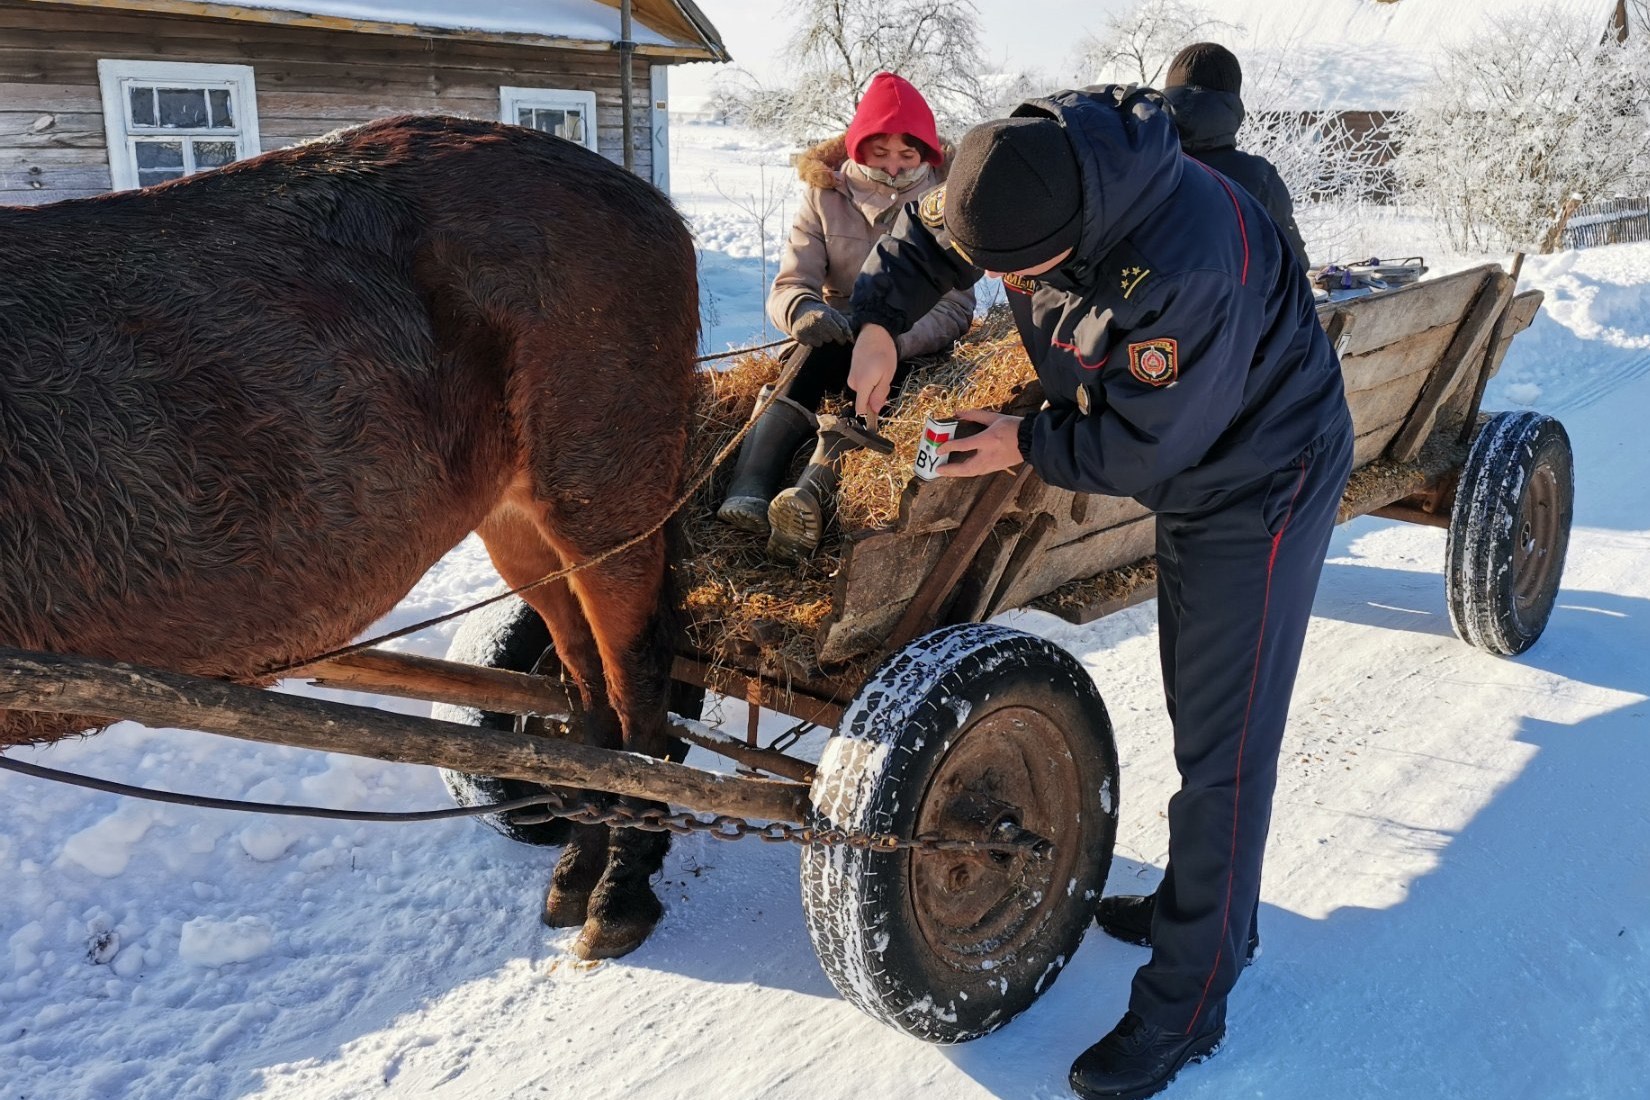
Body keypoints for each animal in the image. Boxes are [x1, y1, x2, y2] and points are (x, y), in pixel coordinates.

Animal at [0, 109, 699, 956]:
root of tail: (645, 197)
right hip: (520, 522)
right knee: (587, 685)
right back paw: (580, 863)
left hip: (605, 497)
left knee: (640, 696)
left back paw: (623, 891)